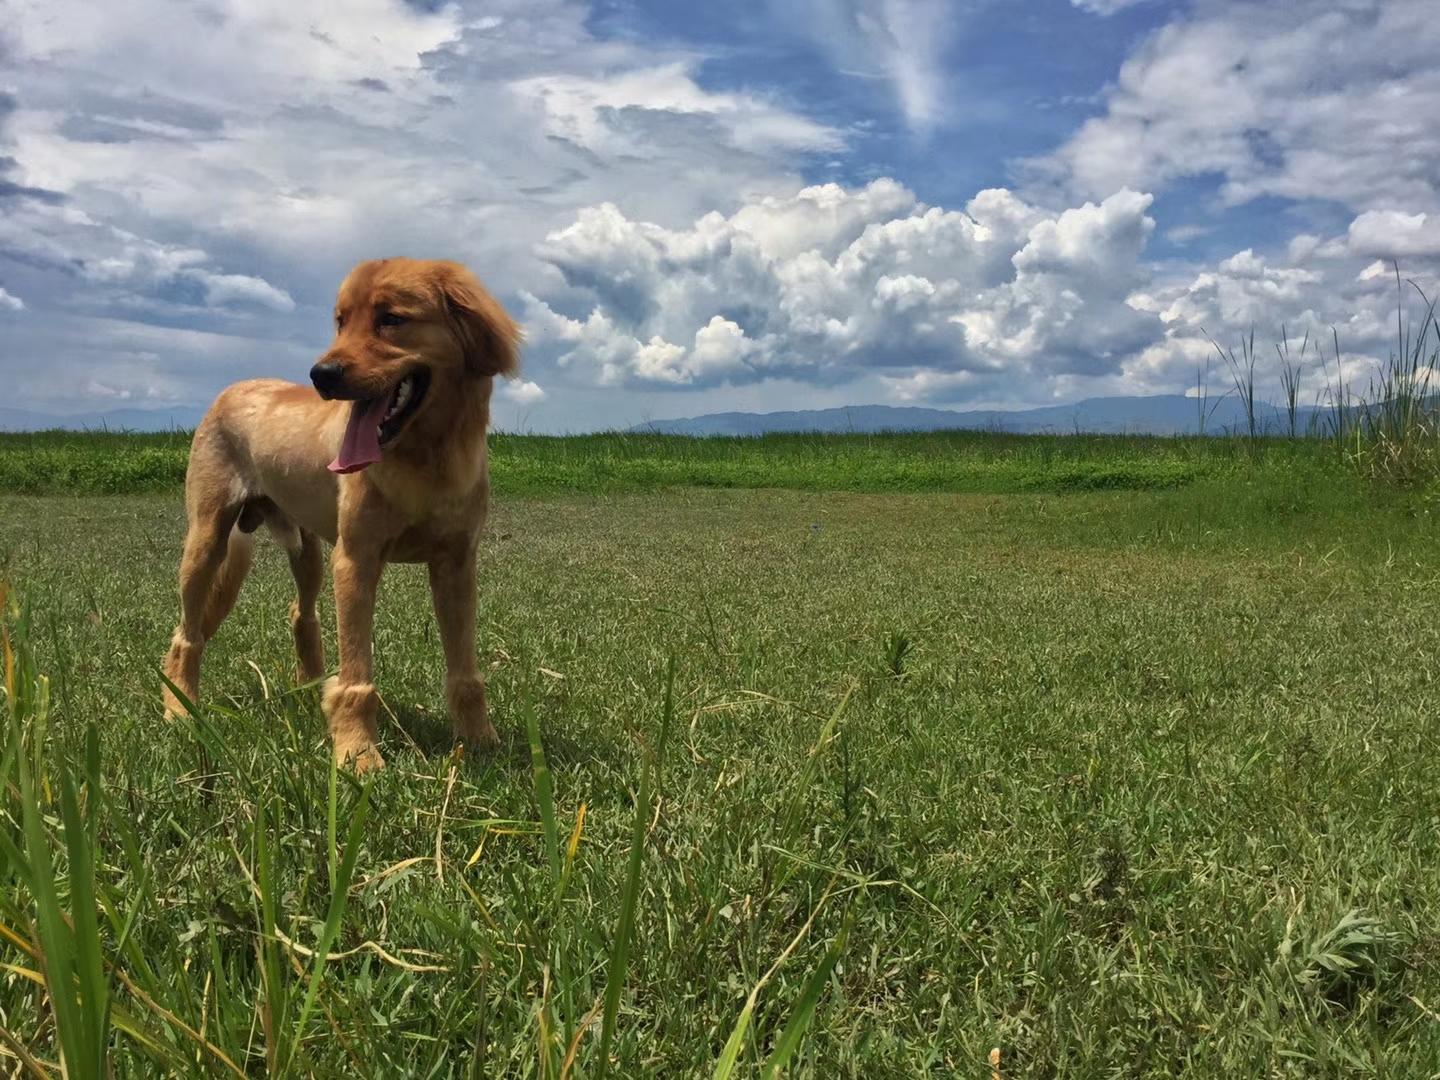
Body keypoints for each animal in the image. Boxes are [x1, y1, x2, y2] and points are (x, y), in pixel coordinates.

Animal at [160, 257, 521, 771]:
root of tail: (233, 387)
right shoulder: (355, 559)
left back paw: (311, 692)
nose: (321, 374)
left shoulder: (456, 563)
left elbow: (465, 672)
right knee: (187, 632)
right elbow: (356, 677)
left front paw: (480, 741)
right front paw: (358, 755)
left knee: (301, 613)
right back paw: (180, 708)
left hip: (307, 548)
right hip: (208, 539)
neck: (425, 460)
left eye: (391, 318)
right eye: (340, 321)